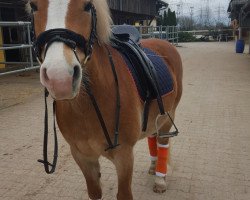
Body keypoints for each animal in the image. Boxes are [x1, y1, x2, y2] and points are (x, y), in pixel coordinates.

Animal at [28, 0, 183, 200]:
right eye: (33, 6)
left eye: (87, 5)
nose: (60, 78)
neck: (87, 106)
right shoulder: (82, 157)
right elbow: (95, 192)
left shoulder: (124, 156)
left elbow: (124, 194)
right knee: (152, 135)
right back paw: (152, 167)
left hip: (168, 117)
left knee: (162, 141)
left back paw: (160, 180)